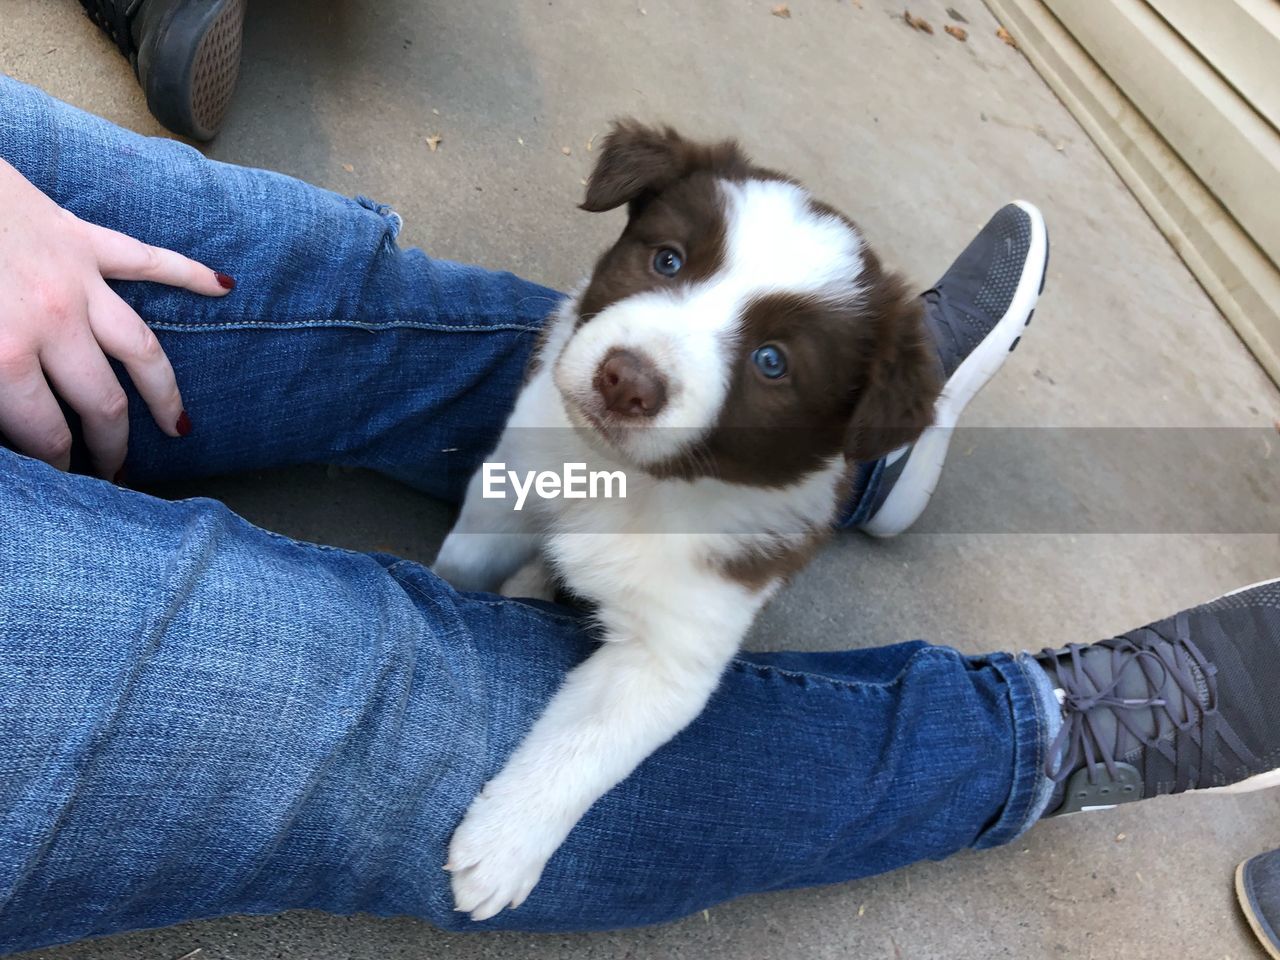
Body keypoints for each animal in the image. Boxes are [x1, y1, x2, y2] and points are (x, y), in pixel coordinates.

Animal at [432, 122, 942, 926]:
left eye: (772, 362)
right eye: (666, 260)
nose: (626, 381)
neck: (635, 485)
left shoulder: (676, 648)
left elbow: (588, 746)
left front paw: (503, 850)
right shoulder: (509, 485)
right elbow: (460, 567)